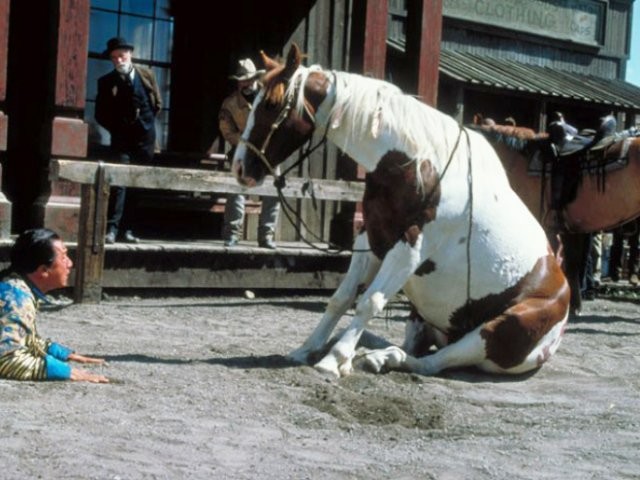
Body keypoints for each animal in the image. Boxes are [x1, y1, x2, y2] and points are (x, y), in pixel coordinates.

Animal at [231, 44, 568, 376]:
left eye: (271, 104)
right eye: (252, 98)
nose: (240, 167)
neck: (416, 166)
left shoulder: (409, 249)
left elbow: (370, 302)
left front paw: (332, 360)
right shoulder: (369, 239)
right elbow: (341, 299)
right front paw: (306, 350)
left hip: (496, 332)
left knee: (433, 362)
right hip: (420, 317)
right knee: (413, 348)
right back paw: (376, 356)